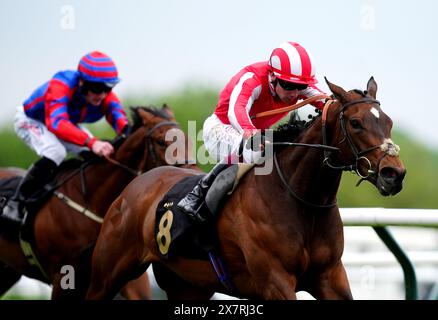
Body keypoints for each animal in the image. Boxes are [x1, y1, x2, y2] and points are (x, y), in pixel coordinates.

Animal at [0, 105, 193, 300]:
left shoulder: (123, 269)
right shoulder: (63, 276)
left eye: (187, 138)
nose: (192, 173)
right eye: (161, 141)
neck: (89, 199)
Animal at [85, 78, 408, 300]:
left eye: (389, 122)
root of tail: (135, 185)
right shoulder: (275, 282)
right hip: (107, 274)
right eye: (355, 122)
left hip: (187, 284)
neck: (301, 200)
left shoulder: (331, 277)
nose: (394, 173)